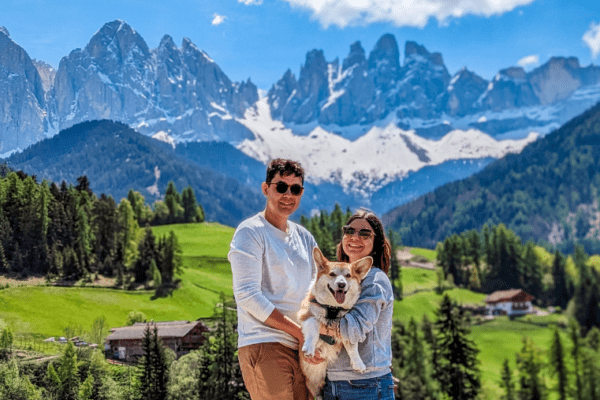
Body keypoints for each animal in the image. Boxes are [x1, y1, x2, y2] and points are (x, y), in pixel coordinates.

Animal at [298, 247, 372, 400]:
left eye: (348, 276)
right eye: (332, 274)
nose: (341, 284)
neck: (332, 308)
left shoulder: (346, 325)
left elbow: (353, 346)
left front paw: (358, 363)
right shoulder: (306, 315)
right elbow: (314, 328)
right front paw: (309, 348)